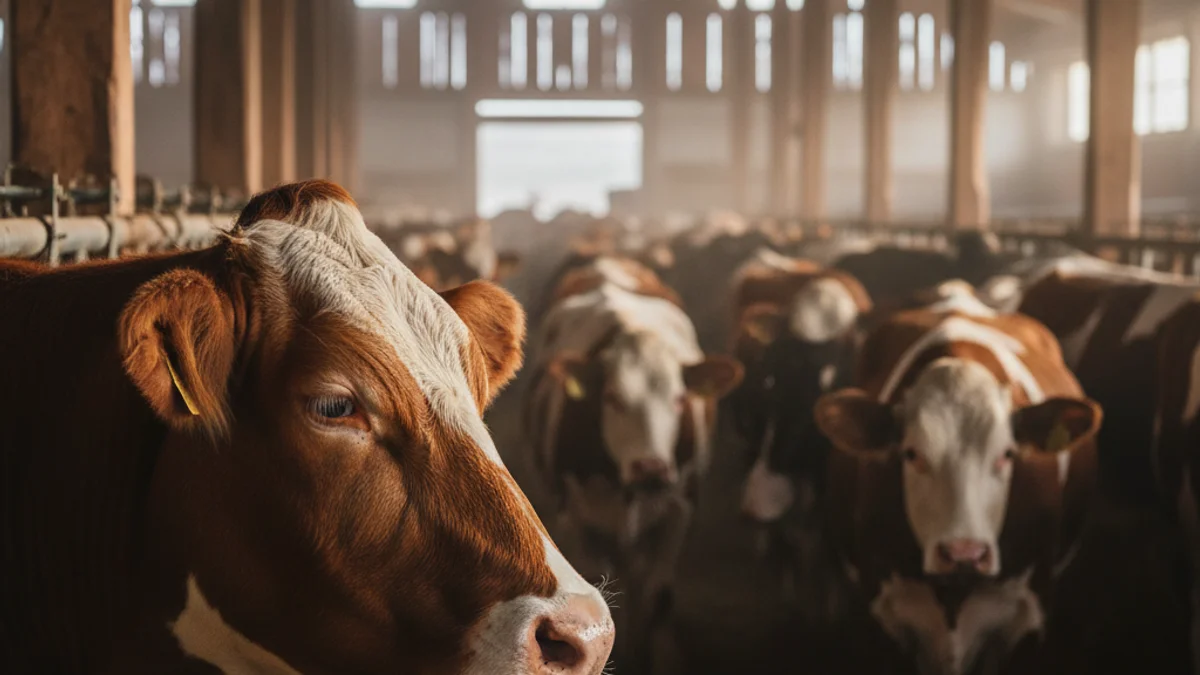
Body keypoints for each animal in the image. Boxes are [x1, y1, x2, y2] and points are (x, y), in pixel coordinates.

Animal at [524, 256, 742, 674]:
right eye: (611, 398)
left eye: (680, 398)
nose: (651, 468)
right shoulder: (577, 519)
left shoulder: (681, 507)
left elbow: (658, 598)